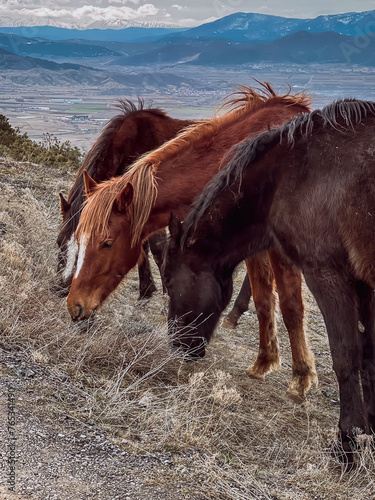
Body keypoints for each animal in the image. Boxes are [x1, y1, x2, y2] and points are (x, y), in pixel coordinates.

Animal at [67, 82, 318, 402]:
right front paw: (264, 361)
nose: (74, 306)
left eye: (107, 243)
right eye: (77, 238)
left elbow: (290, 304)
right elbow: (264, 297)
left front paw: (301, 377)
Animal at [163, 99, 375, 462]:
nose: (178, 347)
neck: (288, 173)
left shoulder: (326, 272)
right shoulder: (365, 284)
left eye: (169, 282)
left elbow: (346, 353)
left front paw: (349, 442)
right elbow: (370, 353)